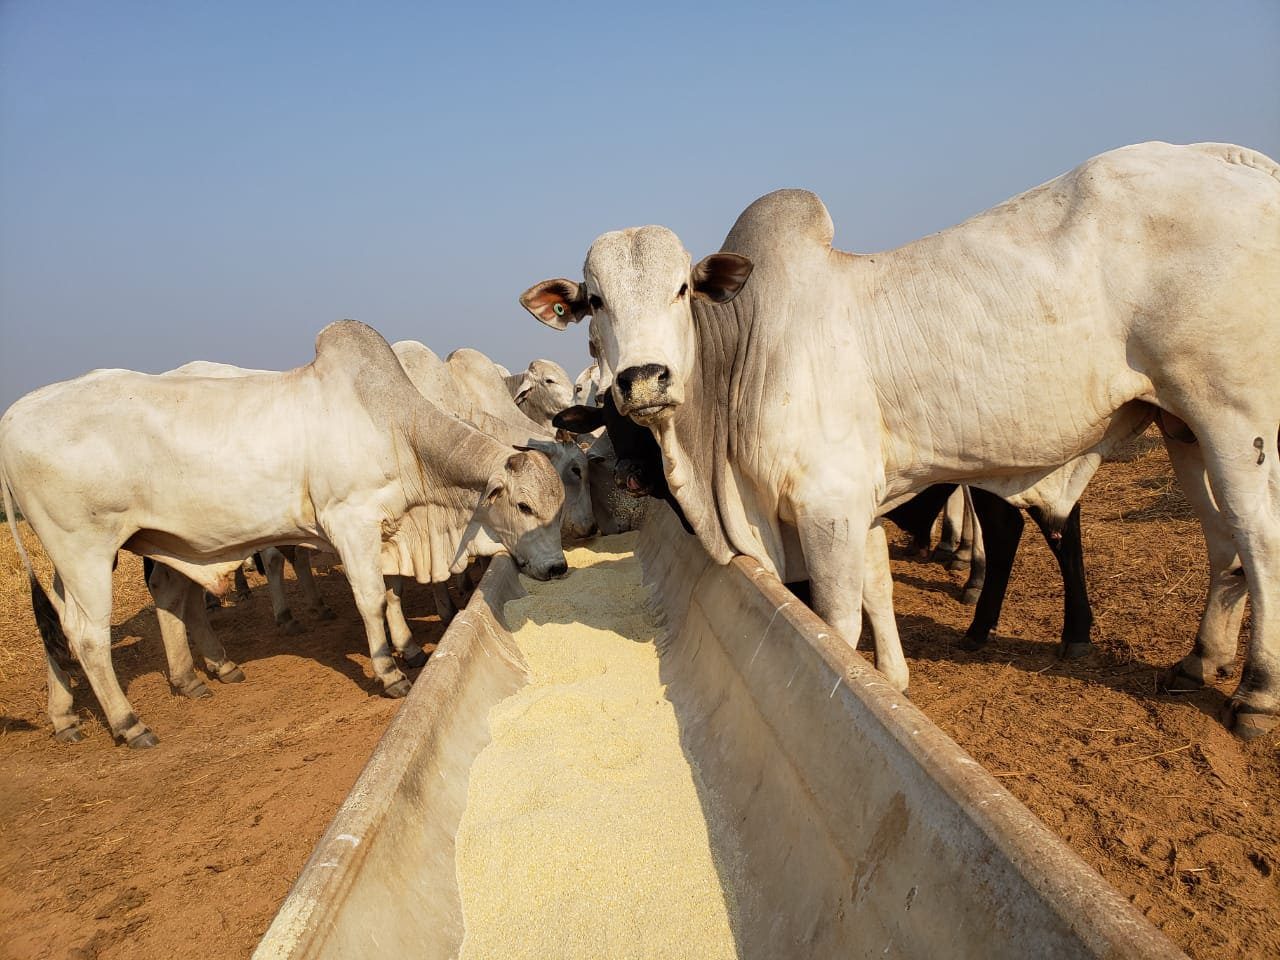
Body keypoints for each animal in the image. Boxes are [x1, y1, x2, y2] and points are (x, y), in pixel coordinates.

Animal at [522, 142, 1280, 742]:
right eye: (594, 303)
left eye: (682, 289)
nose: (643, 379)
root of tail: (1234, 163)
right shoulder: (857, 507)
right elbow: (880, 588)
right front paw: (893, 682)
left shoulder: (828, 506)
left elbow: (837, 619)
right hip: (1180, 424)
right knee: (1221, 541)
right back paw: (1199, 659)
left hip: (1233, 413)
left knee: (1256, 534)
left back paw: (1256, 694)